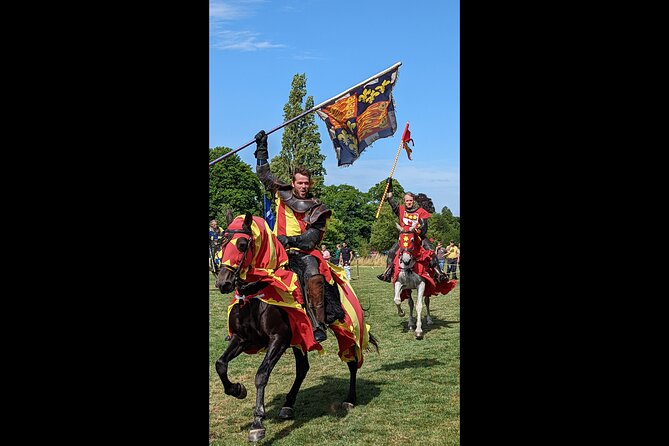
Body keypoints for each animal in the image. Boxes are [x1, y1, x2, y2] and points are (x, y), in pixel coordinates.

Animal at [214, 213, 376, 442]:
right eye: (221, 243)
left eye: (242, 244)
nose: (223, 283)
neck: (259, 293)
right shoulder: (242, 338)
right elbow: (220, 364)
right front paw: (237, 389)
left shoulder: (279, 339)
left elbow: (261, 375)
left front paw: (257, 423)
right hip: (300, 339)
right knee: (302, 368)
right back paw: (288, 405)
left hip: (347, 327)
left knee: (352, 360)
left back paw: (350, 399)